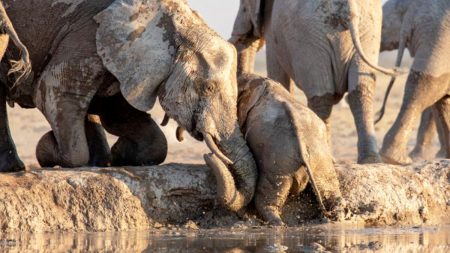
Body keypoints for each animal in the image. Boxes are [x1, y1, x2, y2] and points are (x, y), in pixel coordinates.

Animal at [0, 0, 256, 212]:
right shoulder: (86, 36)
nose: (209, 156)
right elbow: (52, 93)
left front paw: (119, 155)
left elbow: (119, 115)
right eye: (208, 88)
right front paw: (48, 151)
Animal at [213, 73, 342, 225]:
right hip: (318, 161)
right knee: (331, 192)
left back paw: (277, 223)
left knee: (266, 203)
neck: (261, 82)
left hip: (277, 166)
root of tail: (302, 150)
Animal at [230, 0, 400, 164]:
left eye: (244, 7)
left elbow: (278, 72)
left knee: (322, 96)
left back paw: (333, 158)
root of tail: (347, 7)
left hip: (310, 36)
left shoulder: (274, 33)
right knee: (359, 91)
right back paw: (370, 161)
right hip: (366, 30)